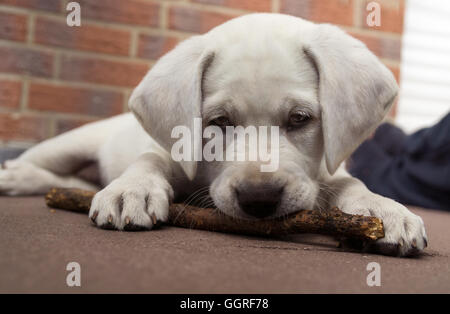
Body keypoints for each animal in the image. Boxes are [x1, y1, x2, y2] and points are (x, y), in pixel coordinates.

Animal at [0, 13, 428, 256]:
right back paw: (17, 175)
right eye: (219, 122)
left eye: (300, 118)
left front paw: (380, 209)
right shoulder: (172, 151)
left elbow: (349, 183)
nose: (259, 198)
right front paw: (131, 190)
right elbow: (149, 157)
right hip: (71, 144)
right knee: (47, 165)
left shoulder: (327, 170)